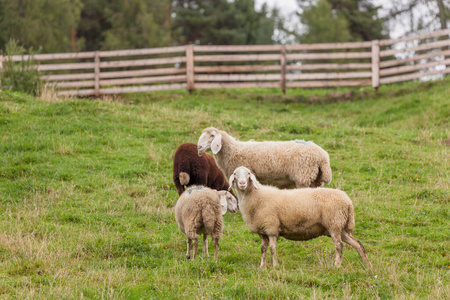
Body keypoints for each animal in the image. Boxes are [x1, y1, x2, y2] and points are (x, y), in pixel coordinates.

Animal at [197, 126, 330, 188]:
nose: (199, 147)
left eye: (212, 135)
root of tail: (323, 156)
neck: (233, 151)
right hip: (315, 179)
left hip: (303, 178)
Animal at [229, 166, 370, 268]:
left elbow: (272, 248)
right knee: (357, 243)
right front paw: (262, 266)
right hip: (340, 227)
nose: (242, 183)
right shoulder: (262, 231)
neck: (256, 197)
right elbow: (263, 249)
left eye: (248, 173)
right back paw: (366, 263)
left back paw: (337, 265)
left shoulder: (271, 227)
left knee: (339, 246)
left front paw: (275, 266)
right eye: (235, 174)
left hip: (334, 224)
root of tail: (348, 201)